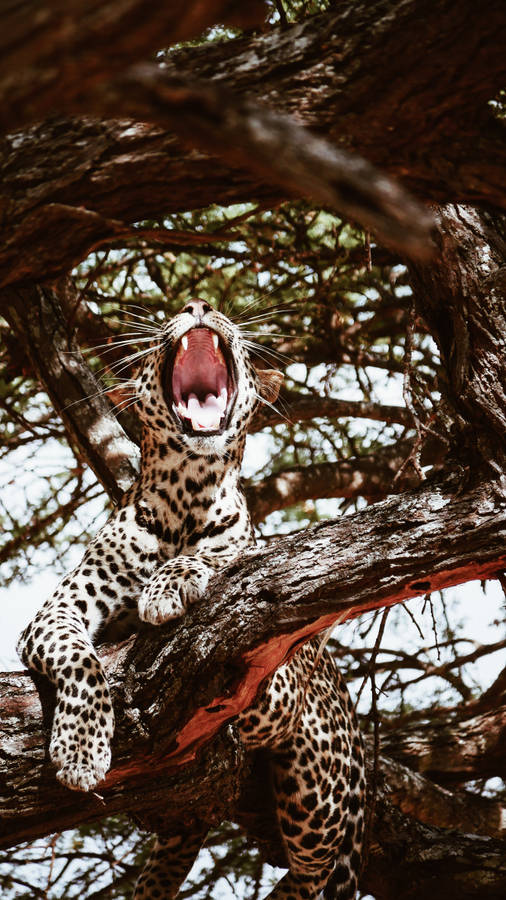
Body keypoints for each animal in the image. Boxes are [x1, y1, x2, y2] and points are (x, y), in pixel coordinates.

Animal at [17, 299, 366, 900]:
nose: (200, 306)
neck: (187, 491)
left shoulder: (273, 674)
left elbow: (225, 558)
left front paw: (168, 584)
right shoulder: (55, 612)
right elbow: (81, 661)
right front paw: (81, 751)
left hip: (317, 788)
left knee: (311, 876)